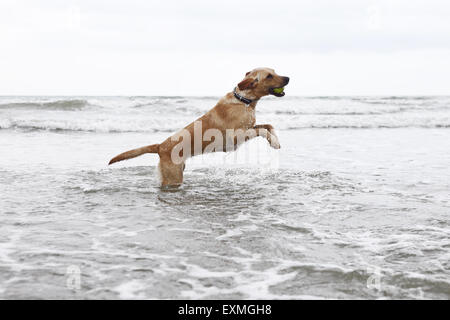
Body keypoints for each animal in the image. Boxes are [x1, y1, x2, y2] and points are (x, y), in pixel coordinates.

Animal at [109, 68, 288, 186]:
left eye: (274, 71)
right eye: (269, 75)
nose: (288, 78)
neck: (243, 100)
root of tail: (160, 146)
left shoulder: (249, 128)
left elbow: (268, 125)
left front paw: (276, 141)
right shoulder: (235, 138)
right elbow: (262, 129)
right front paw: (274, 142)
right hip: (174, 176)